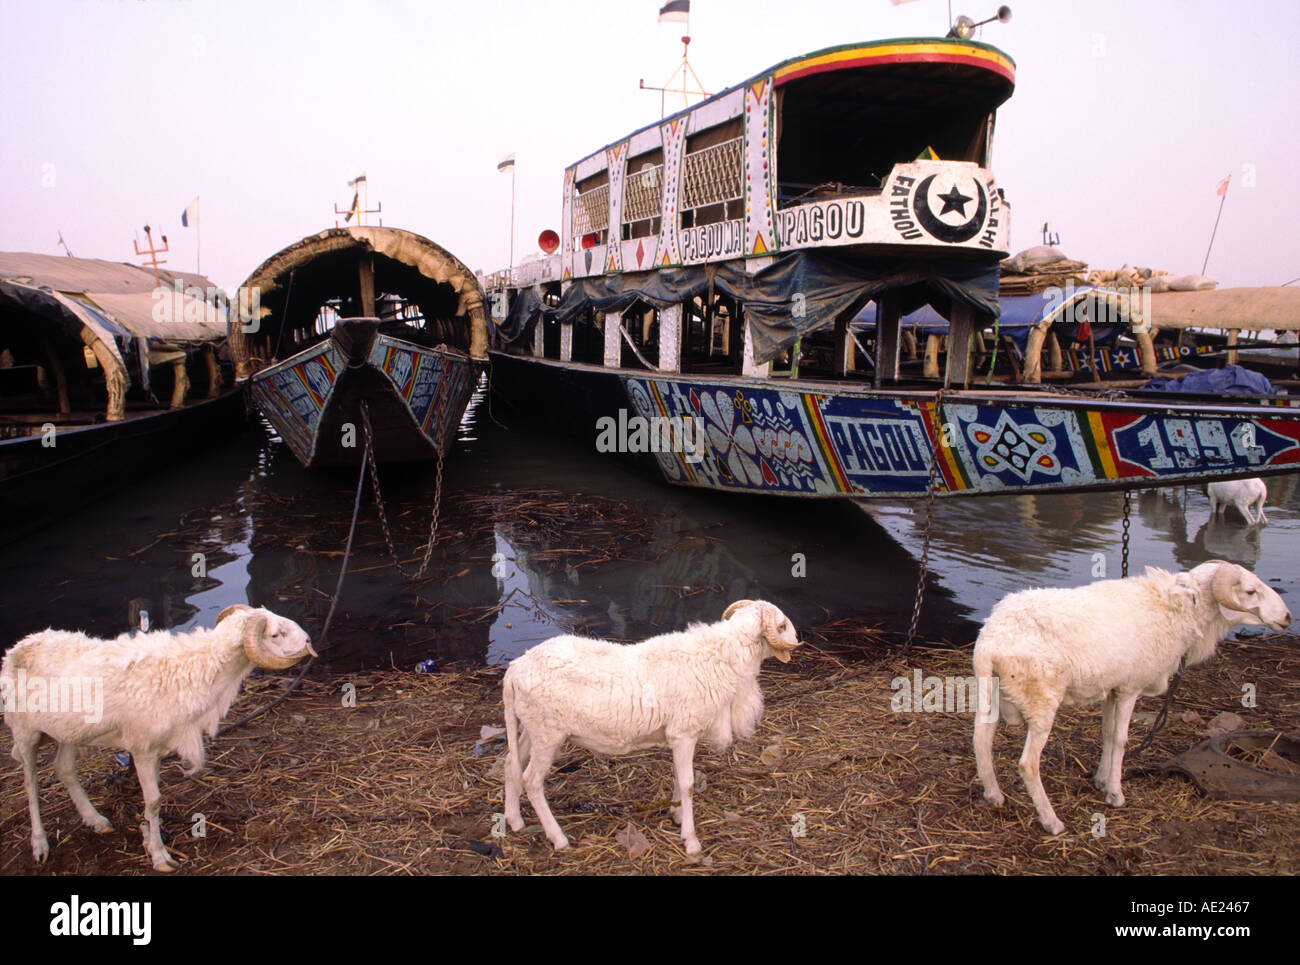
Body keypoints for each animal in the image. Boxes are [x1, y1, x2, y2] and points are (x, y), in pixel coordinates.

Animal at [1, 604, 315, 871]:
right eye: (276, 634)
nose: (309, 641)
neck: (193, 668)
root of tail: (18, 647)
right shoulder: (142, 749)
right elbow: (153, 800)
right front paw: (160, 855)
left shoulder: (156, 749)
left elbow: (155, 800)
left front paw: (147, 837)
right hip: (25, 731)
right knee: (30, 781)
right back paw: (39, 844)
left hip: (68, 732)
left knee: (64, 769)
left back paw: (96, 820)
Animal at [501, 599, 800, 855]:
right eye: (781, 626)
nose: (796, 642)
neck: (722, 655)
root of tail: (515, 668)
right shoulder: (684, 733)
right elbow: (688, 784)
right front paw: (691, 841)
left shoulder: (677, 737)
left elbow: (678, 779)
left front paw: (677, 815)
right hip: (547, 733)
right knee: (532, 781)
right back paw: (558, 838)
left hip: (530, 729)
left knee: (510, 766)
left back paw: (514, 820)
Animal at [973, 560, 1290, 835]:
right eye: (1250, 591)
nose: (1287, 617)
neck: (1178, 611)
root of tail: (993, 639)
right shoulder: (1129, 689)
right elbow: (1121, 740)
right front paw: (1116, 794)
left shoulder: (1113, 688)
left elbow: (1107, 733)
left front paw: (1101, 780)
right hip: (1041, 699)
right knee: (1028, 764)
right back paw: (1051, 821)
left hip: (991, 691)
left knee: (982, 740)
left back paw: (993, 795)